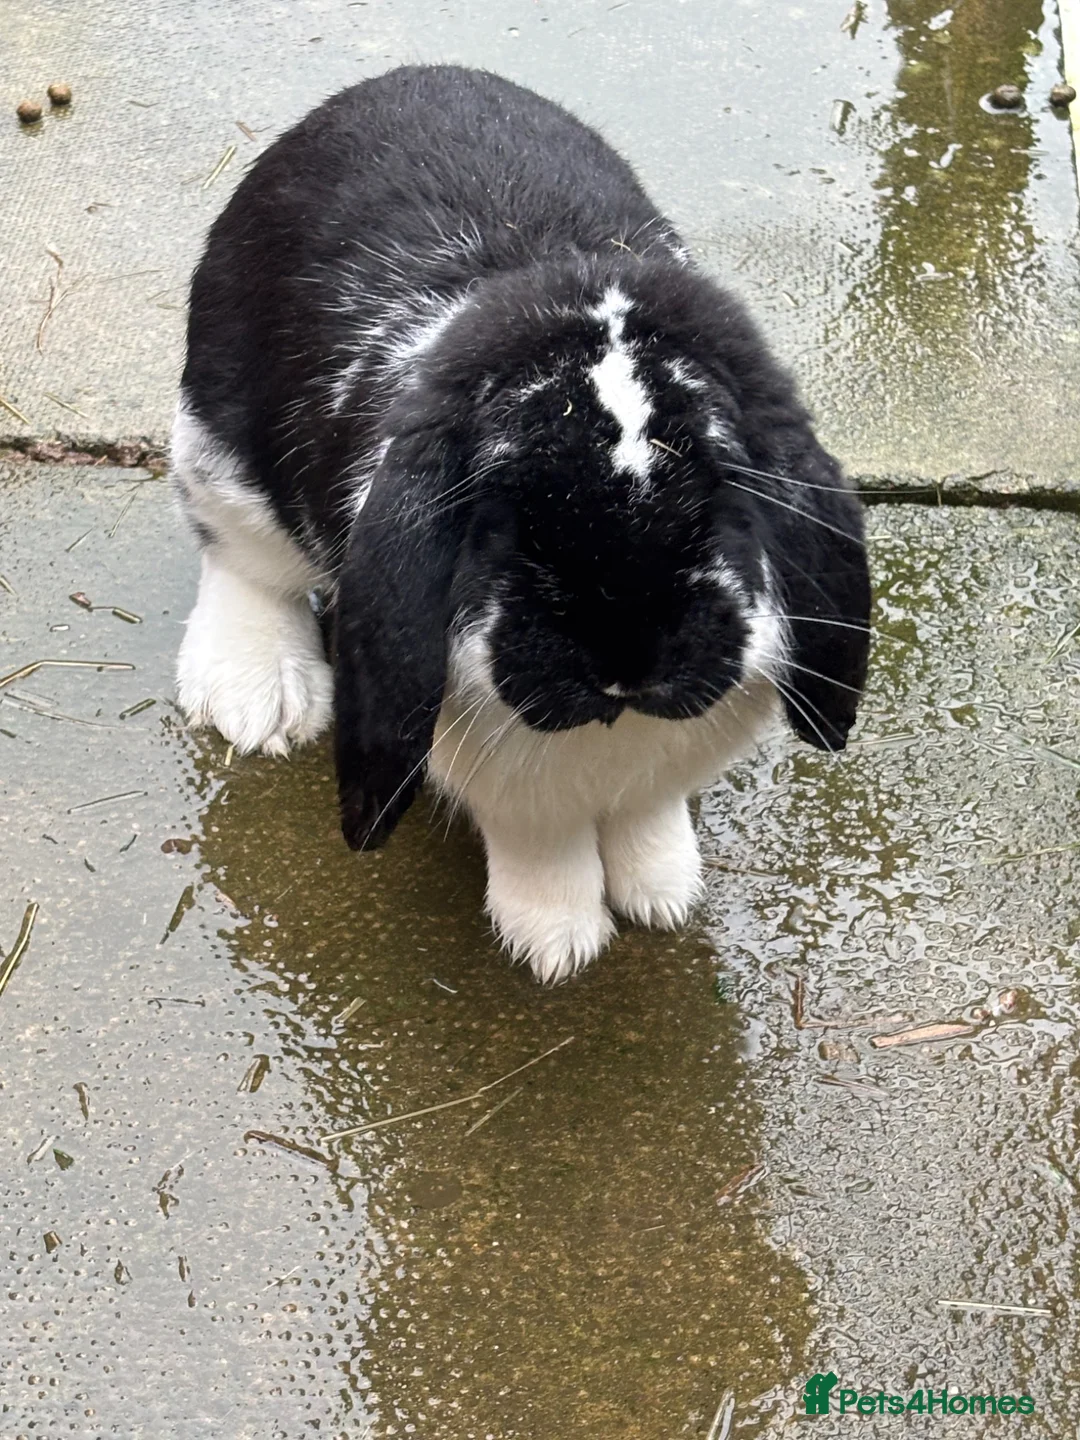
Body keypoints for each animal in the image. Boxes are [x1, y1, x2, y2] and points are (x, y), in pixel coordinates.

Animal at [172, 64, 871, 984]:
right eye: (502, 516)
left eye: (726, 490)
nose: (627, 657)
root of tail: (404, 78)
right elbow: (542, 842)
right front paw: (556, 942)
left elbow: (645, 816)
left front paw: (661, 894)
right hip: (217, 448)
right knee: (244, 561)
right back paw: (259, 698)